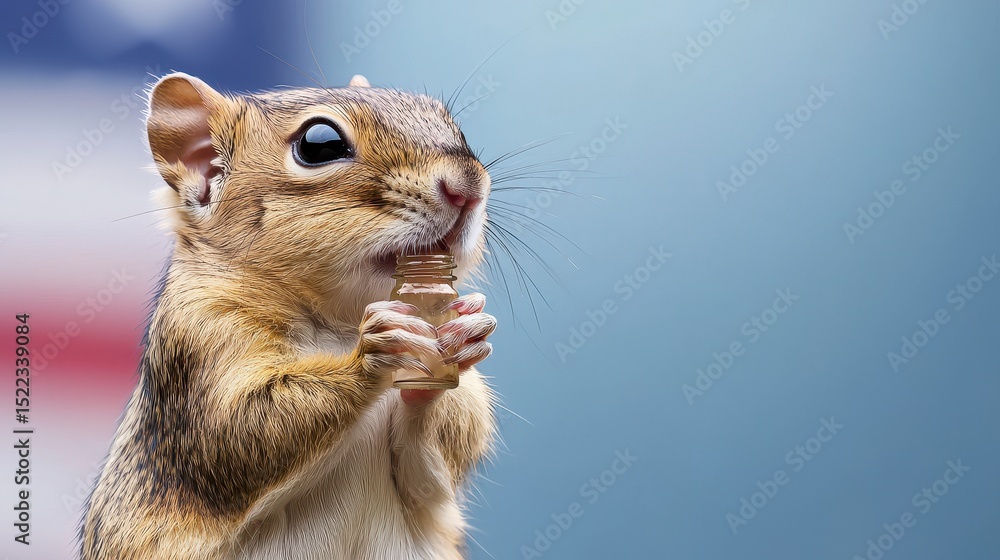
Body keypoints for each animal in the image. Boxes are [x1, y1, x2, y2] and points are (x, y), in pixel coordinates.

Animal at [79, 72, 498, 560]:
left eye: (452, 123)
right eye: (319, 145)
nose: (468, 187)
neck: (340, 323)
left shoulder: (427, 474)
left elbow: (433, 463)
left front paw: (466, 333)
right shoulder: (199, 339)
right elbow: (237, 430)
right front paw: (378, 347)